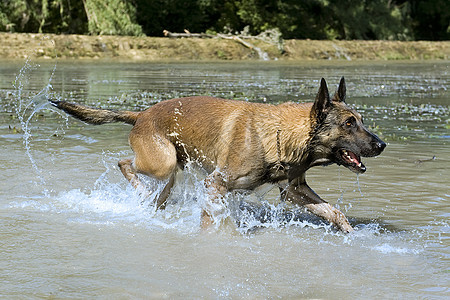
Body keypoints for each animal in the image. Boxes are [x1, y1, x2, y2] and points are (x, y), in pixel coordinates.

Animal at [51, 77, 384, 232]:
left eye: (361, 120)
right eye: (349, 123)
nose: (381, 145)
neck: (279, 135)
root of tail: (141, 114)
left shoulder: (294, 189)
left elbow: (334, 212)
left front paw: (351, 235)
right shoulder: (215, 184)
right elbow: (212, 219)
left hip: (171, 174)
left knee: (157, 192)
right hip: (163, 163)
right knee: (124, 163)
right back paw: (141, 192)